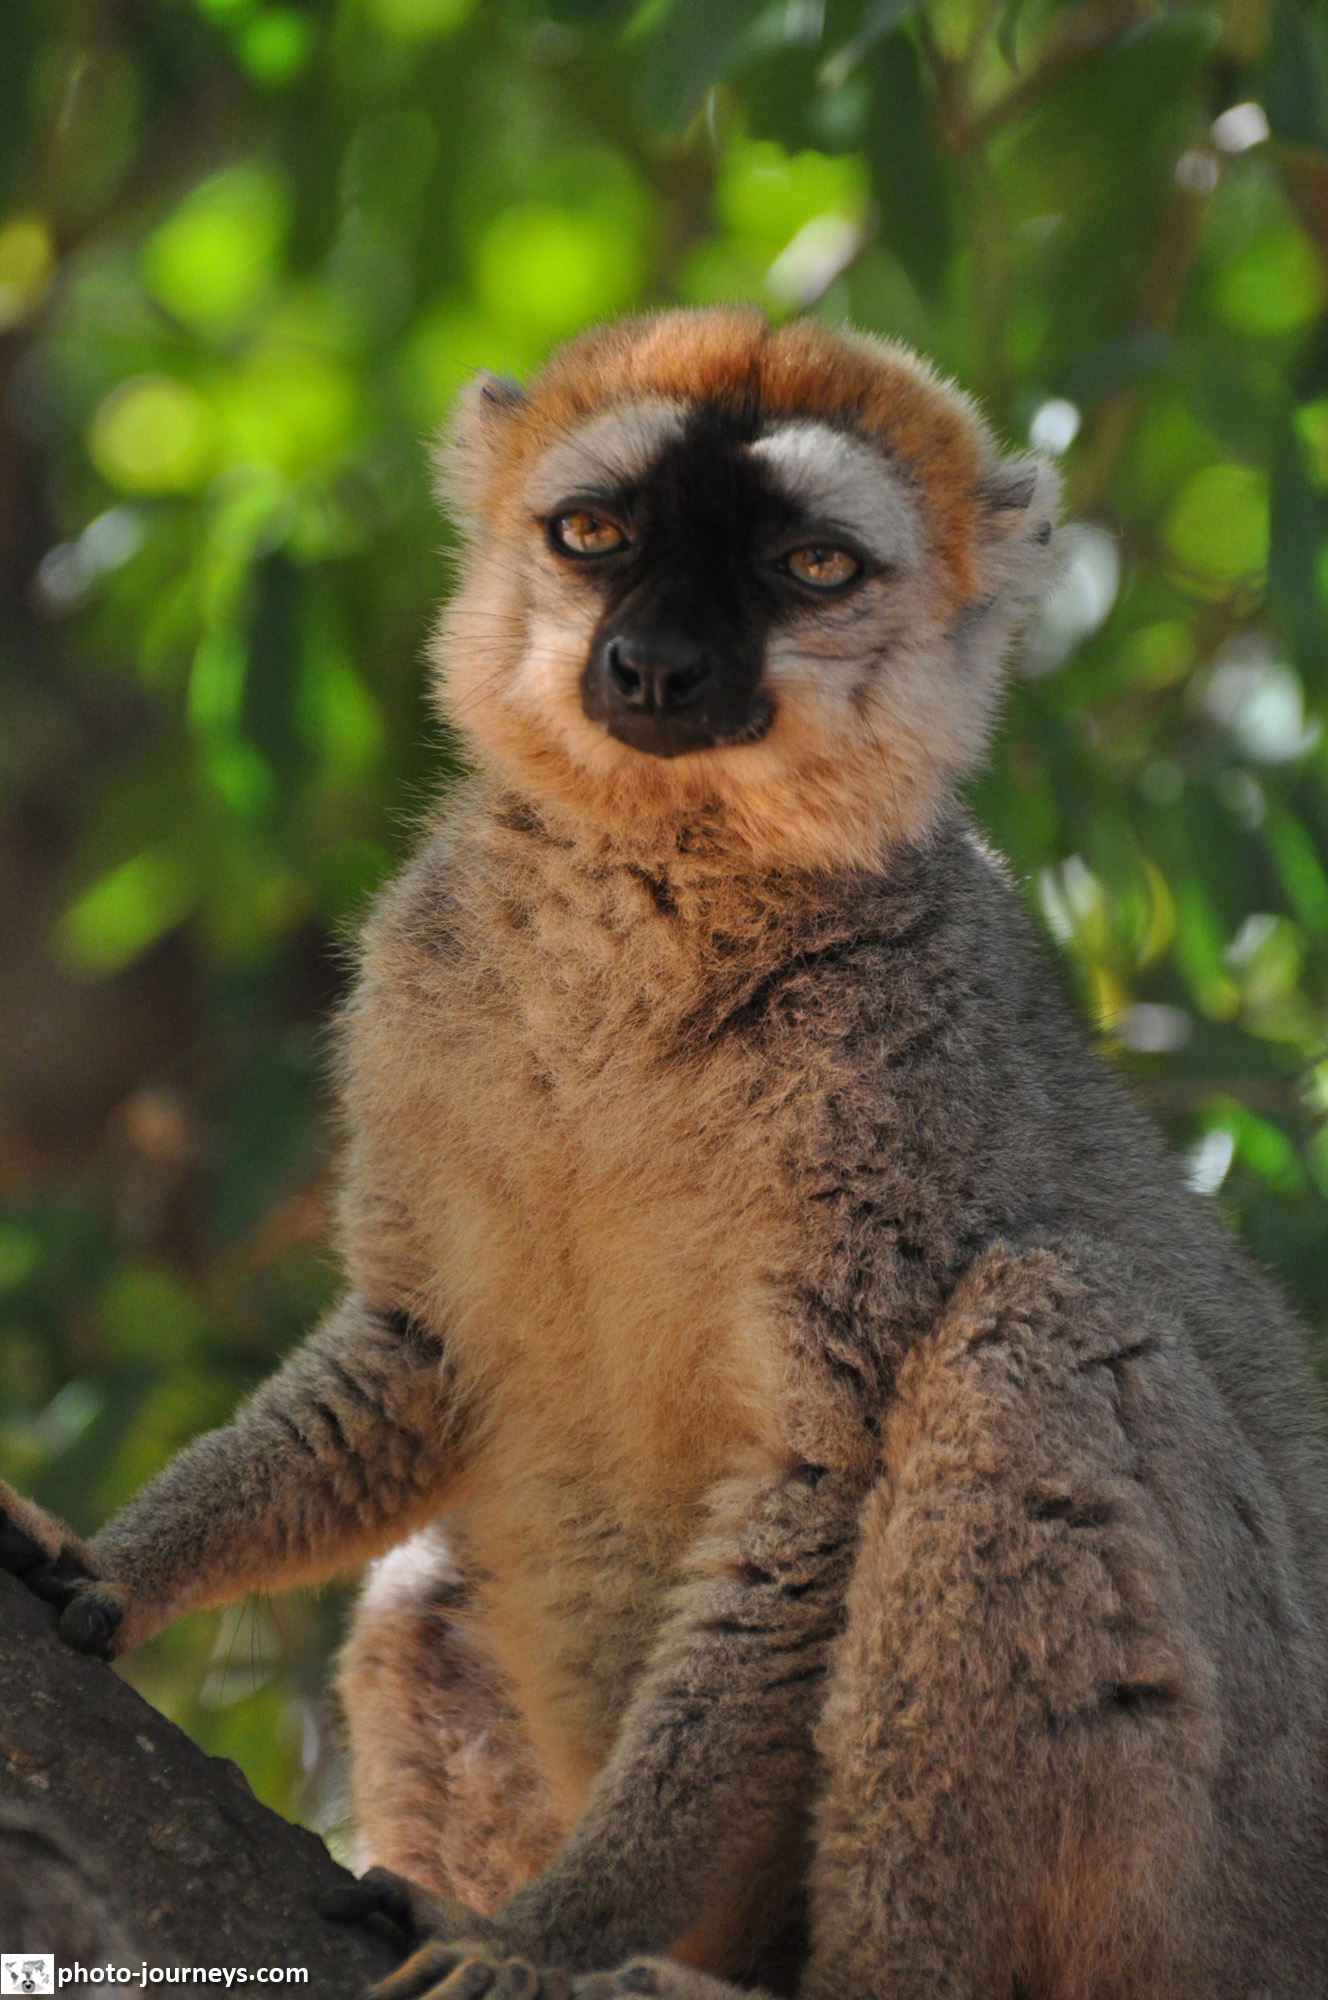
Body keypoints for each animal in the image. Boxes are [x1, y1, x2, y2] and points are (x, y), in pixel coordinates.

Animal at [3, 305, 1328, 1999]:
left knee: (1039, 1333)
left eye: (811, 566)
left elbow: (810, 1494)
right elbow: (410, 1356)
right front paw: (110, 1565)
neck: (654, 899)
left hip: (1219, 1883)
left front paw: (546, 1935)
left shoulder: (916, 1092)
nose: (652, 664)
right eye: (596, 535)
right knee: (426, 1592)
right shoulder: (419, 994)